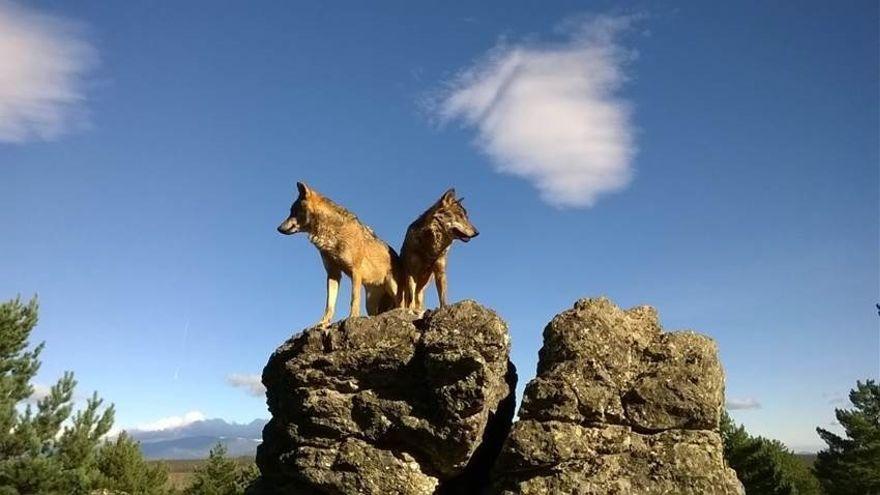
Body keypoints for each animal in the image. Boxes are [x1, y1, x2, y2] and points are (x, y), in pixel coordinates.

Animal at [276, 184, 404, 328]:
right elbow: (329, 304)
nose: (278, 228)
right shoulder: (333, 274)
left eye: (293, 211)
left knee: (403, 305)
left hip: (393, 289)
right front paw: (323, 323)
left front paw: (353, 317)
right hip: (370, 304)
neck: (331, 234)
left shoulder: (355, 271)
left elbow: (354, 298)